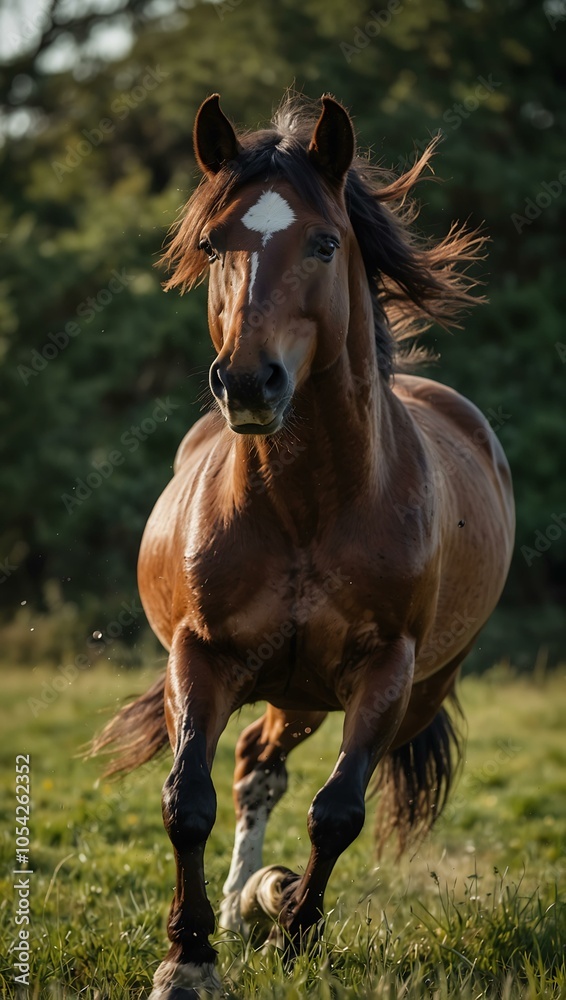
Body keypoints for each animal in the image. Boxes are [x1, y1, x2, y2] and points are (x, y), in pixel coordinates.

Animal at [92, 93, 515, 999]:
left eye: (323, 242)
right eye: (214, 243)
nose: (250, 383)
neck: (308, 506)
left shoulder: (383, 671)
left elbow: (338, 810)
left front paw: (294, 930)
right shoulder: (202, 657)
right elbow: (188, 799)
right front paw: (188, 957)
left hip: (375, 691)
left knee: (288, 771)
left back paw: (267, 898)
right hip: (287, 686)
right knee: (256, 763)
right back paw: (237, 902)